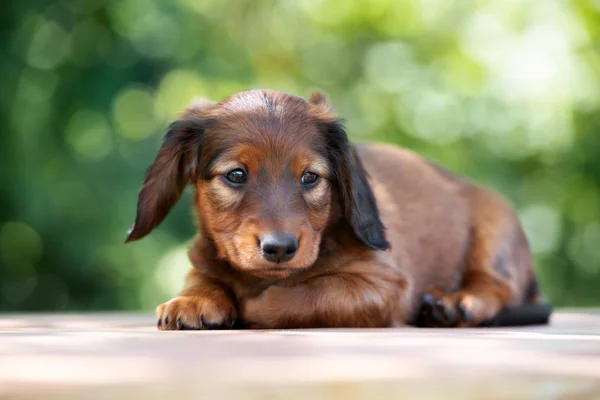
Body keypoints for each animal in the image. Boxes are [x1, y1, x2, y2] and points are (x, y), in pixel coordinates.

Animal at [124, 89, 552, 330]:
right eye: (236, 175)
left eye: (310, 177)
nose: (279, 248)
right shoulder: (203, 259)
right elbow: (204, 278)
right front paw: (195, 300)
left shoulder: (382, 286)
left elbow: (299, 296)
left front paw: (246, 303)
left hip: (493, 228)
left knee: (496, 286)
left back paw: (454, 304)